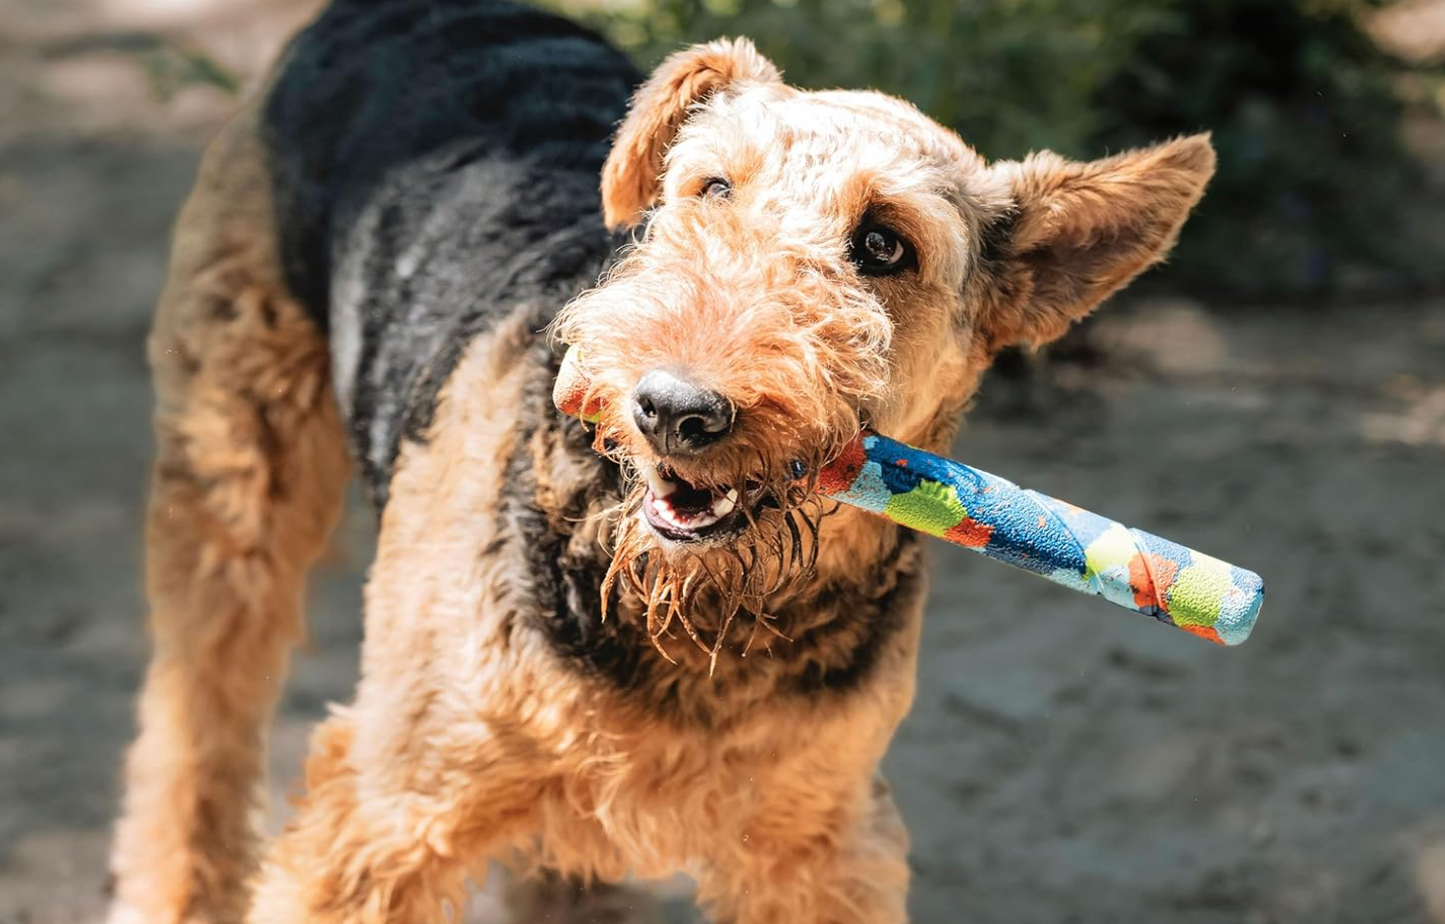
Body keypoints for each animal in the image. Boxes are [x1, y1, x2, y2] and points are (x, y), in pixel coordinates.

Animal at [106, 3, 1213, 919]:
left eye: (885, 244)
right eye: (709, 187)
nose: (675, 409)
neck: (693, 616)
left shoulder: (817, 842)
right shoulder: (385, 812)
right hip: (232, 478)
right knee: (194, 728)